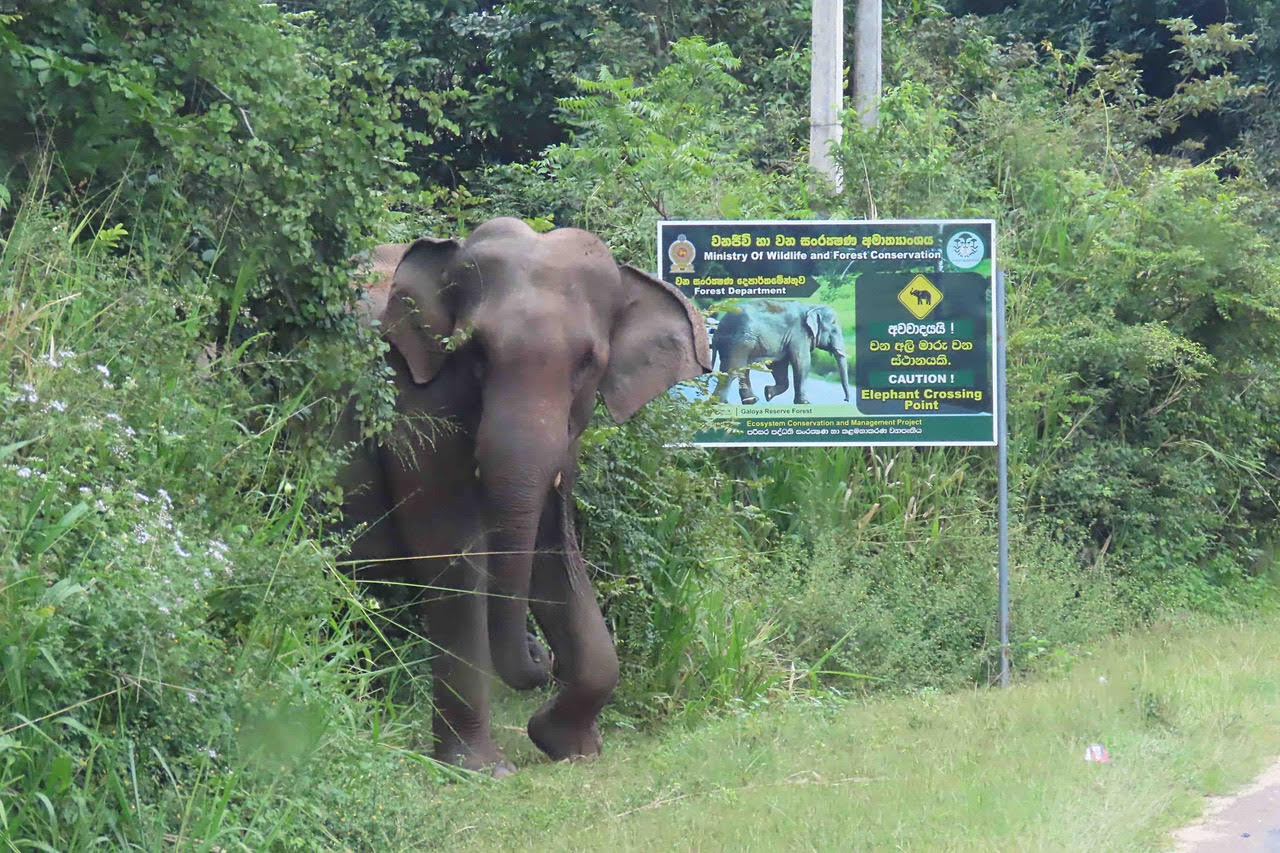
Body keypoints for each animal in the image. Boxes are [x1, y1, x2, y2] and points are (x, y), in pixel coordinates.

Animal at [340, 217, 711, 768]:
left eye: (587, 362)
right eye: (474, 352)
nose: (543, 657)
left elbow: (552, 552)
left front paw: (572, 748)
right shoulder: (414, 403)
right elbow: (453, 553)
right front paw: (483, 770)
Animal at [711, 298, 849, 404]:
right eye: (834, 330)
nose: (845, 400)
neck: (812, 307)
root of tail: (718, 330)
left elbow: (779, 366)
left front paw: (768, 393)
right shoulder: (799, 334)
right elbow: (801, 362)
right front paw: (805, 403)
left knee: (742, 369)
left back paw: (751, 400)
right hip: (739, 342)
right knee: (733, 370)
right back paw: (719, 403)